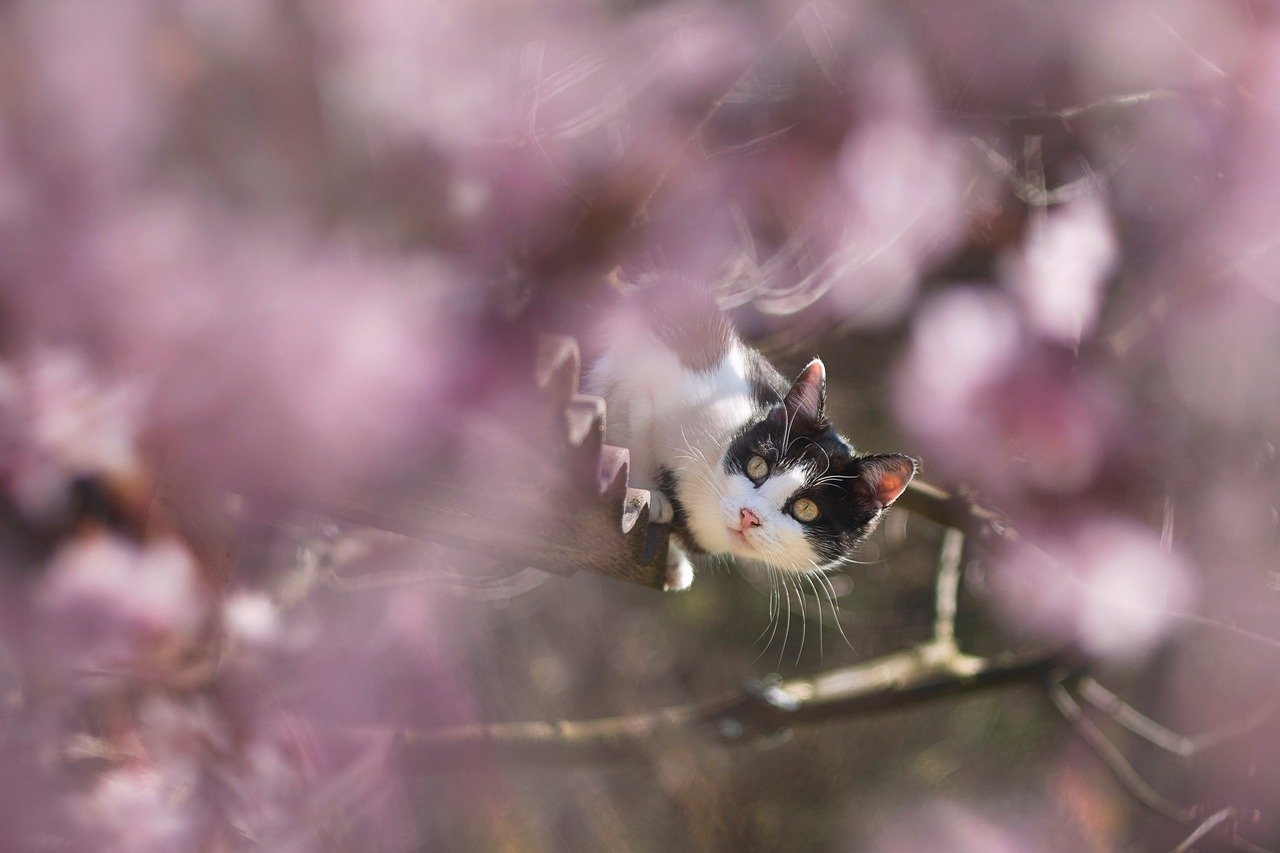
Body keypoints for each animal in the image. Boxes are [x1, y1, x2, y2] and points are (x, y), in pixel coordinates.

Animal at [586, 281, 916, 589]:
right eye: (757, 466)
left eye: (806, 509)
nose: (749, 515)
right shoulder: (649, 364)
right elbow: (631, 424)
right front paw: (648, 493)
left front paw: (671, 561)